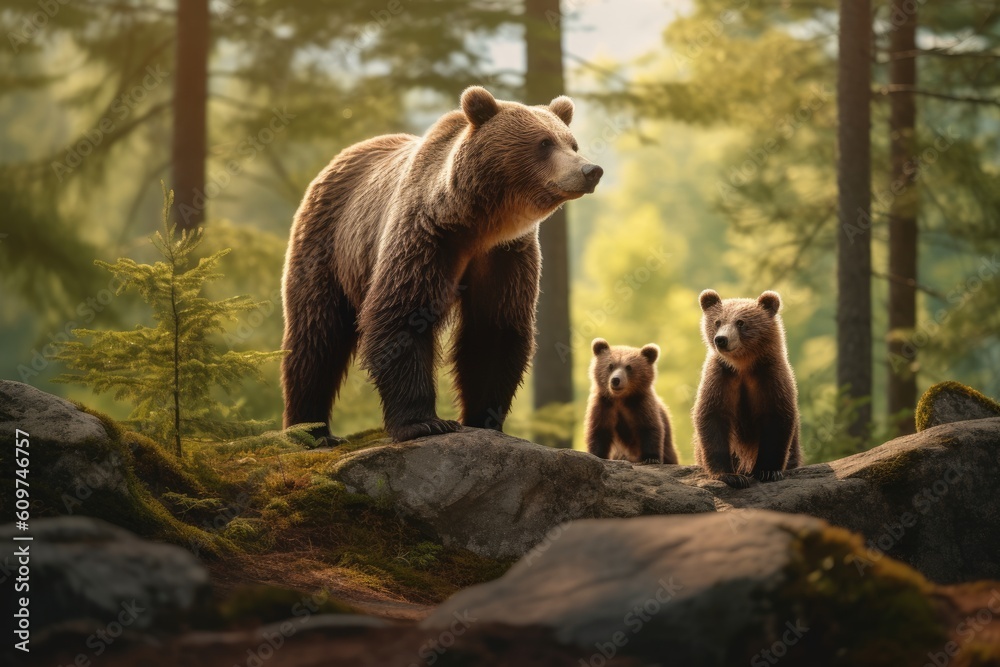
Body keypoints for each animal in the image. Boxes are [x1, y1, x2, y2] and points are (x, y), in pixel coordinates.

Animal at [281, 86, 603, 443]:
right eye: (544, 142)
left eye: (572, 143)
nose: (590, 170)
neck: (479, 224)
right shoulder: (426, 238)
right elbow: (403, 315)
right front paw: (424, 422)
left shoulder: (505, 255)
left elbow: (494, 329)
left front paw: (484, 418)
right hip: (327, 246)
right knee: (317, 335)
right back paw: (310, 430)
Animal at [692, 289, 802, 488]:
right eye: (717, 321)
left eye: (741, 322)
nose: (721, 339)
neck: (743, 366)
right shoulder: (721, 378)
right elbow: (712, 416)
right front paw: (730, 475)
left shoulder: (770, 376)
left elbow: (776, 418)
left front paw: (767, 471)